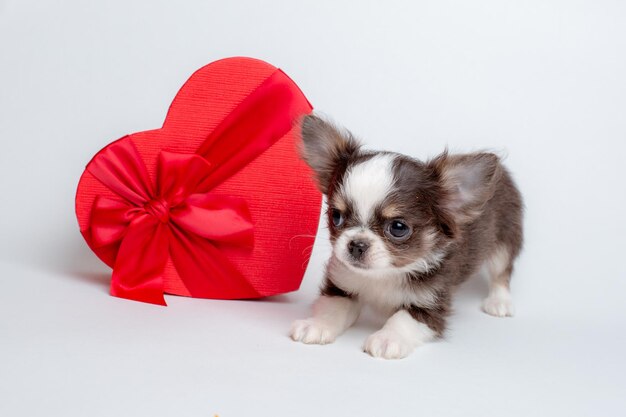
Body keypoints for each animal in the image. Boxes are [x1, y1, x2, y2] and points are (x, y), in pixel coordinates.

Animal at [288, 114, 520, 358]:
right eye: (336, 216)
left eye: (398, 228)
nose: (356, 244)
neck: (384, 275)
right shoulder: (342, 285)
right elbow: (332, 307)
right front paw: (317, 325)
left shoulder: (430, 304)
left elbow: (403, 319)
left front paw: (387, 338)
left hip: (504, 240)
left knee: (501, 272)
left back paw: (499, 302)